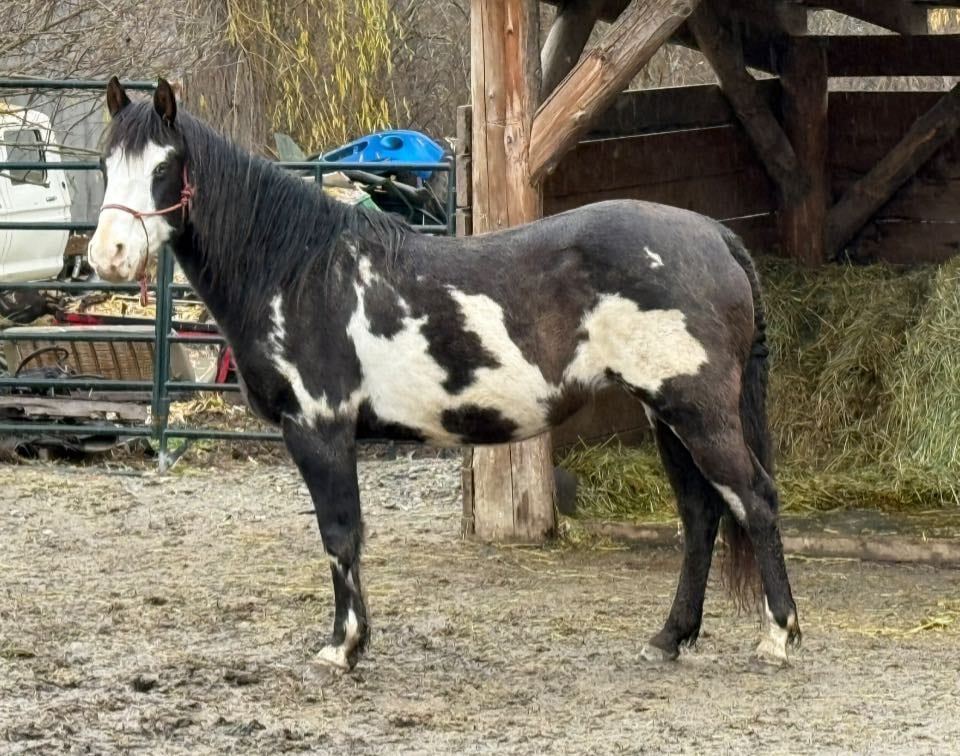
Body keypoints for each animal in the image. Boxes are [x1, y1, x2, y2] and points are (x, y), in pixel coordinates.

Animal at [88, 78, 800, 672]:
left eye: (163, 167)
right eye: (104, 164)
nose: (108, 255)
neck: (299, 268)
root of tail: (712, 236)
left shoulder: (319, 428)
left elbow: (339, 534)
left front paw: (341, 648)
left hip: (697, 411)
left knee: (754, 500)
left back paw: (778, 637)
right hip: (666, 415)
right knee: (701, 515)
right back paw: (669, 638)